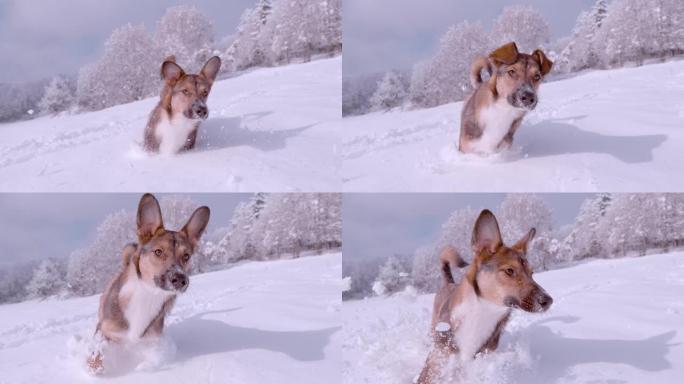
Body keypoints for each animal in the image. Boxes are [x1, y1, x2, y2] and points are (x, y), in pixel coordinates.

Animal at [88, 192, 211, 372]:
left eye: (186, 256)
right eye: (158, 252)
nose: (180, 279)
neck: (148, 294)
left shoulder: (151, 340)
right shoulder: (106, 330)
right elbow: (97, 351)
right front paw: (94, 366)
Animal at [414, 210, 552, 384]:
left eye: (532, 273)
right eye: (509, 270)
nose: (548, 301)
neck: (483, 311)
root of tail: (449, 282)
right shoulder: (437, 361)